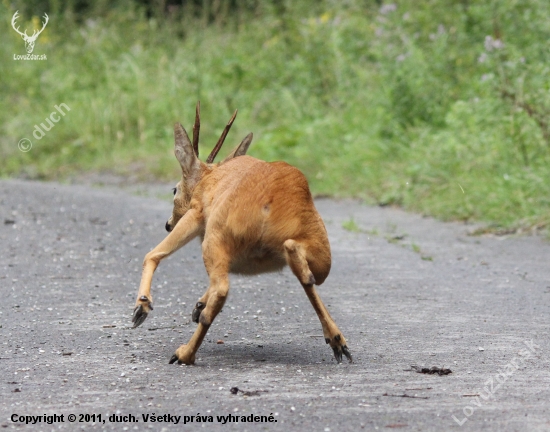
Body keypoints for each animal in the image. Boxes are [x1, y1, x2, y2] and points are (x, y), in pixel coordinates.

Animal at [132, 102, 352, 364]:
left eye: (174, 190)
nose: (168, 223)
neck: (210, 178)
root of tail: (270, 202)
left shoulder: (198, 213)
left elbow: (153, 254)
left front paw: (142, 307)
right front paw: (198, 305)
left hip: (216, 236)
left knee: (222, 289)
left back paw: (184, 353)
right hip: (320, 252)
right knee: (308, 275)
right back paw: (338, 340)